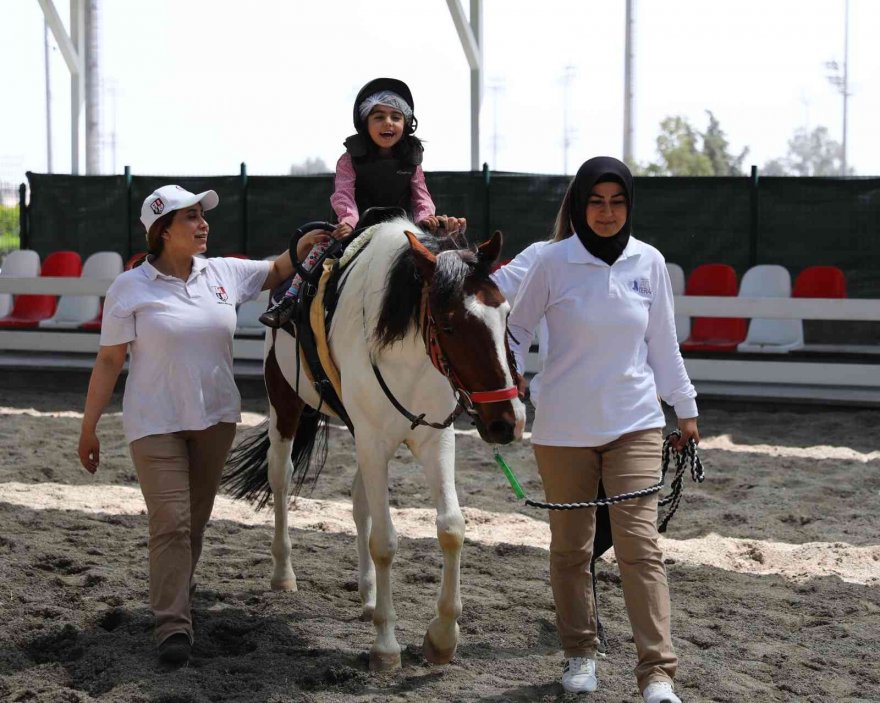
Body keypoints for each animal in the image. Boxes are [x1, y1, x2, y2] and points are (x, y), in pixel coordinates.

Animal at [223, 219, 524, 672]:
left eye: (505, 315)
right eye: (449, 325)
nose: (506, 421)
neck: (408, 352)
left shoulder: (434, 439)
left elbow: (451, 528)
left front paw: (442, 637)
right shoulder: (372, 439)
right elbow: (385, 541)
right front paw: (386, 645)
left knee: (358, 499)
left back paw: (367, 597)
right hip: (286, 403)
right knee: (281, 478)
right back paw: (284, 573)